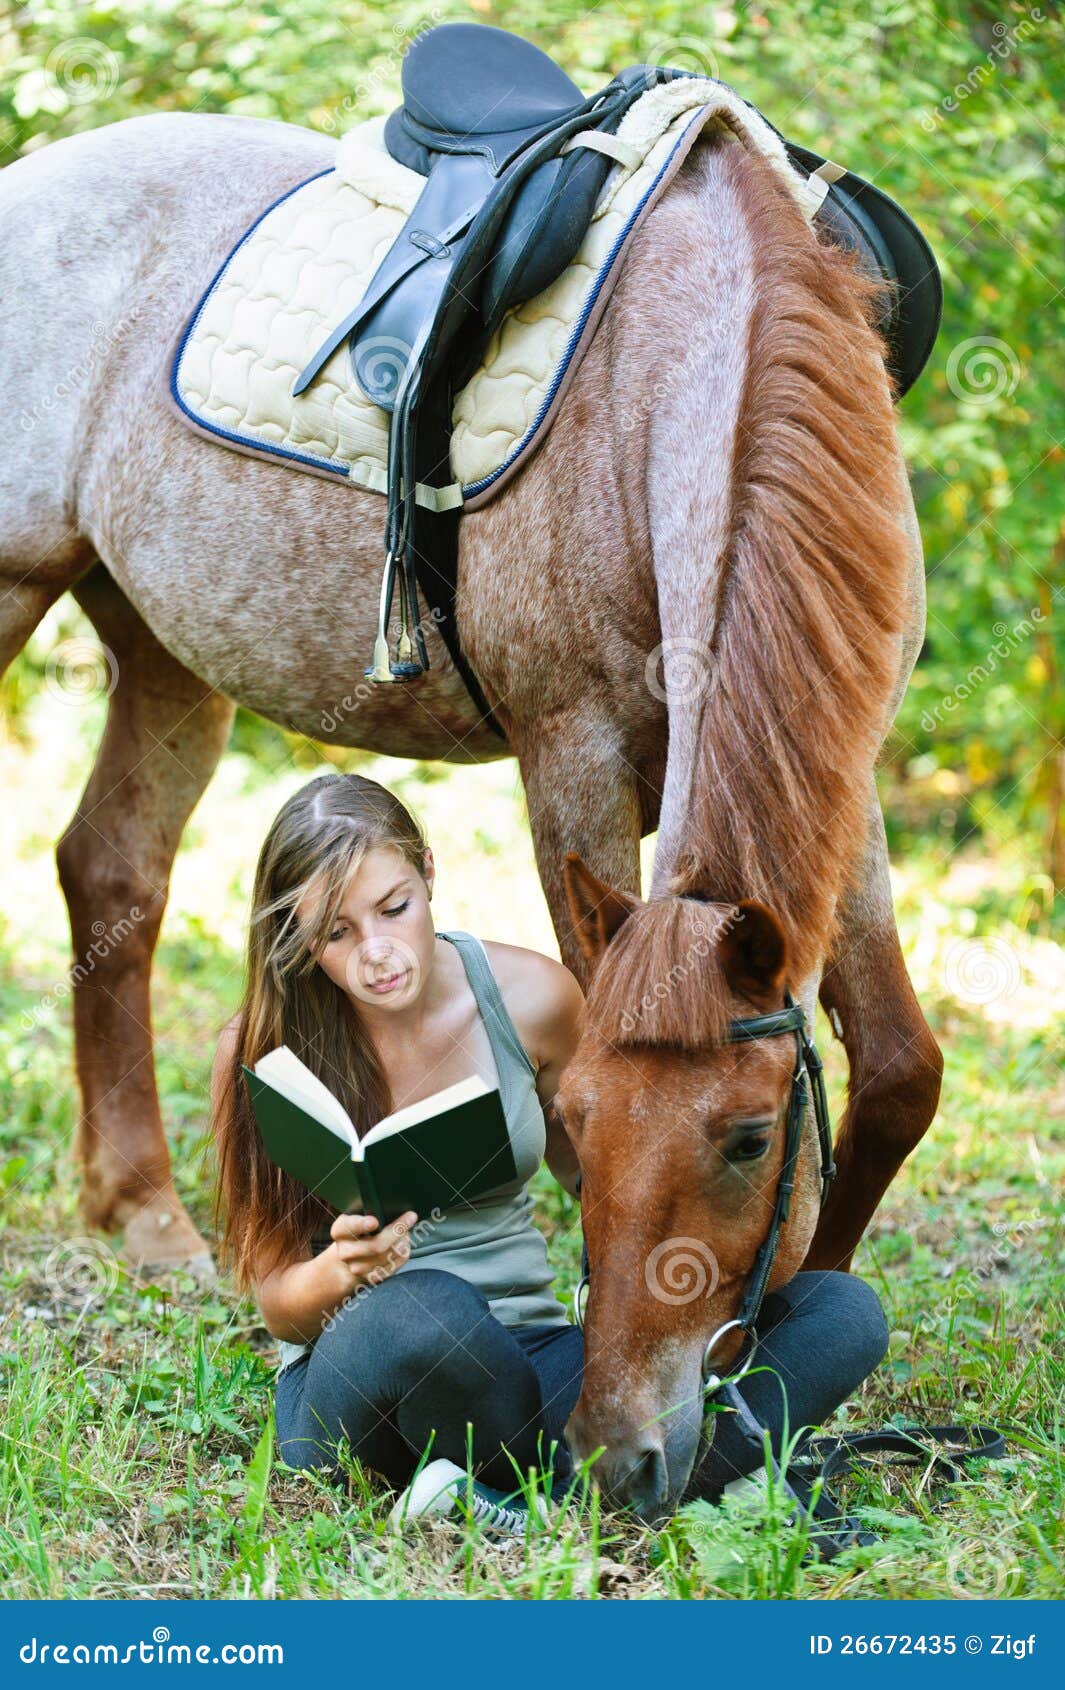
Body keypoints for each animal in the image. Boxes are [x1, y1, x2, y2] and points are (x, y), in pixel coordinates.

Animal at [0, 110, 941, 1498]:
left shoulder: (844, 771)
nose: (616, 1455)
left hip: (166, 652)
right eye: (580, 1118)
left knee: (112, 872)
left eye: (746, 1139)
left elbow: (895, 1071)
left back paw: (146, 1214)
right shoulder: (573, 755)